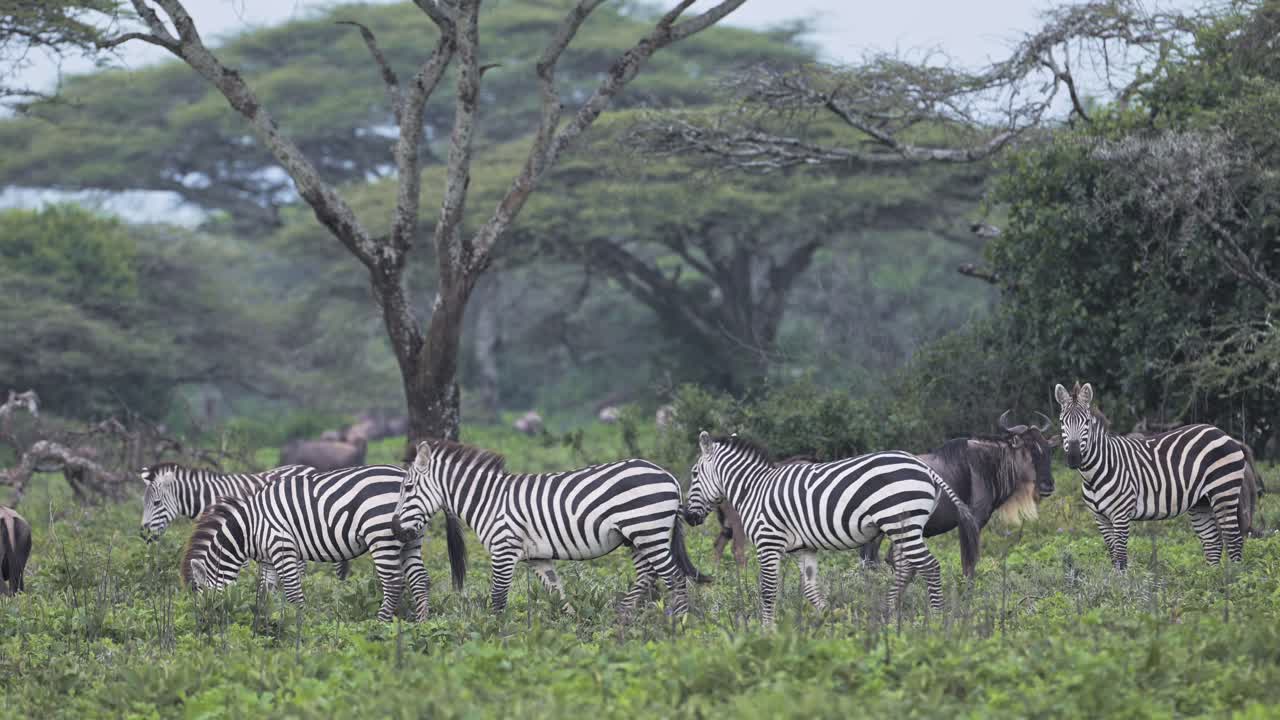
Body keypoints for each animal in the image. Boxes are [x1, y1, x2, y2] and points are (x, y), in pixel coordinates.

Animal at [182, 464, 435, 622]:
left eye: (204, 599)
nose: (205, 623)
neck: (248, 528)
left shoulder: (282, 547)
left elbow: (293, 593)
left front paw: (299, 626)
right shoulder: (268, 559)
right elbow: (265, 593)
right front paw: (267, 619)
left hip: (381, 536)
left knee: (393, 583)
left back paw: (380, 624)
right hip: (410, 540)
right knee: (420, 580)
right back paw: (422, 624)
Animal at [390, 440, 708, 617]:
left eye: (407, 488)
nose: (394, 529)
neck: (489, 500)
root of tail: (668, 475)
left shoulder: (504, 551)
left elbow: (498, 598)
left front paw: (494, 635)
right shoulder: (538, 558)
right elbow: (558, 594)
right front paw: (573, 629)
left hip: (648, 531)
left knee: (674, 577)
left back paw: (681, 626)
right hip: (638, 536)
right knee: (647, 575)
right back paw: (622, 618)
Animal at [681, 433, 979, 626]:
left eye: (694, 474)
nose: (687, 516)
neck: (754, 489)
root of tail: (924, 467)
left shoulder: (768, 543)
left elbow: (767, 589)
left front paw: (767, 631)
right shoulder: (803, 549)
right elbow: (810, 589)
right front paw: (832, 620)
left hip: (899, 521)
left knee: (930, 567)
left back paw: (936, 622)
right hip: (904, 527)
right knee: (908, 568)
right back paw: (888, 615)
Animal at [1055, 382, 1257, 569]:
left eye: (1087, 423)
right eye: (1062, 422)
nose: (1074, 457)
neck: (1094, 474)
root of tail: (1222, 433)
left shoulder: (1121, 515)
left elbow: (1121, 559)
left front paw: (1121, 585)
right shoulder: (1100, 519)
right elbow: (1113, 558)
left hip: (1224, 492)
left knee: (1234, 539)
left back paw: (1232, 580)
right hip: (1201, 502)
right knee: (1213, 542)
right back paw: (1211, 579)